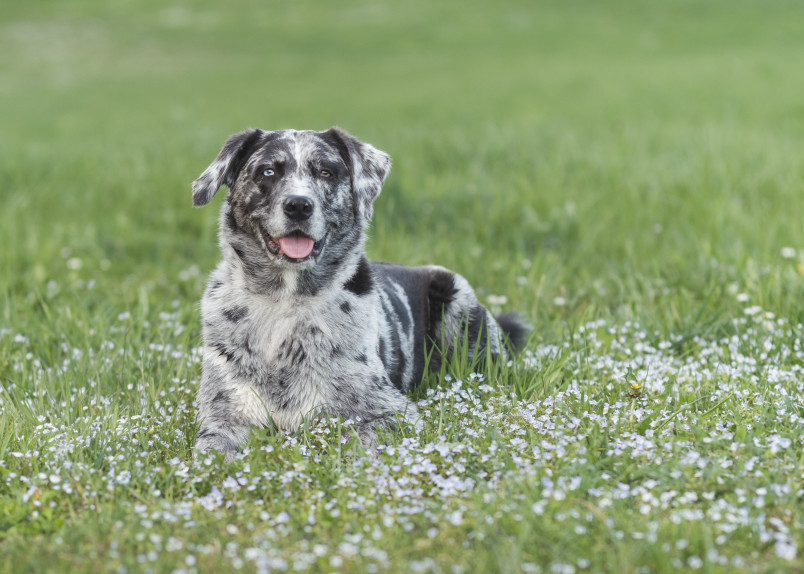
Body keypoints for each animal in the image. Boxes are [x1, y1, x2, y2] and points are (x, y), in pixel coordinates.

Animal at [189, 128, 528, 456]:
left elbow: (357, 438)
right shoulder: (224, 414)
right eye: (268, 171)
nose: (299, 205)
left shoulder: (389, 411)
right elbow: (212, 452)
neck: (286, 301)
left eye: (326, 171)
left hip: (458, 304)